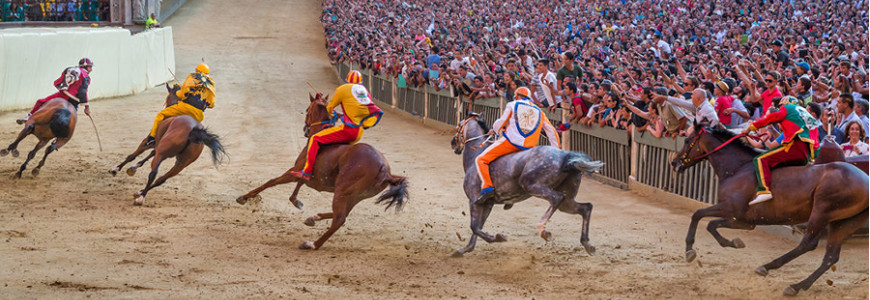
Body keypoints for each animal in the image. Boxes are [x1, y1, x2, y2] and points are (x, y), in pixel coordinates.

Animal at [235, 93, 412, 251]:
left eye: (307, 109)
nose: (305, 129)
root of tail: (384, 170)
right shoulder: (308, 175)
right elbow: (298, 184)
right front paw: (298, 202)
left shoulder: (295, 170)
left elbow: (271, 182)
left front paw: (244, 197)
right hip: (355, 196)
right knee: (342, 215)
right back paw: (313, 218)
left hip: (342, 191)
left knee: (339, 219)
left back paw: (312, 244)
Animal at [450, 113, 608, 256]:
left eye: (459, 125)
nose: (453, 142)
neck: (475, 158)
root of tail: (566, 157)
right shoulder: (487, 203)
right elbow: (478, 227)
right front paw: (466, 249)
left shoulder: (474, 200)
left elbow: (474, 227)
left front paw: (496, 237)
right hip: (567, 201)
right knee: (586, 208)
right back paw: (587, 244)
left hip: (532, 186)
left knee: (557, 198)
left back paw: (543, 229)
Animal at [672, 123, 868, 296]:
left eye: (687, 139)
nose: (674, 162)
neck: (737, 169)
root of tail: (865, 180)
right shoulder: (744, 221)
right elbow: (711, 225)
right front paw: (734, 242)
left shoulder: (731, 208)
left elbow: (698, 215)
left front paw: (689, 250)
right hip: (842, 223)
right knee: (830, 257)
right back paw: (797, 286)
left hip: (821, 212)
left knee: (808, 244)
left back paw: (768, 267)